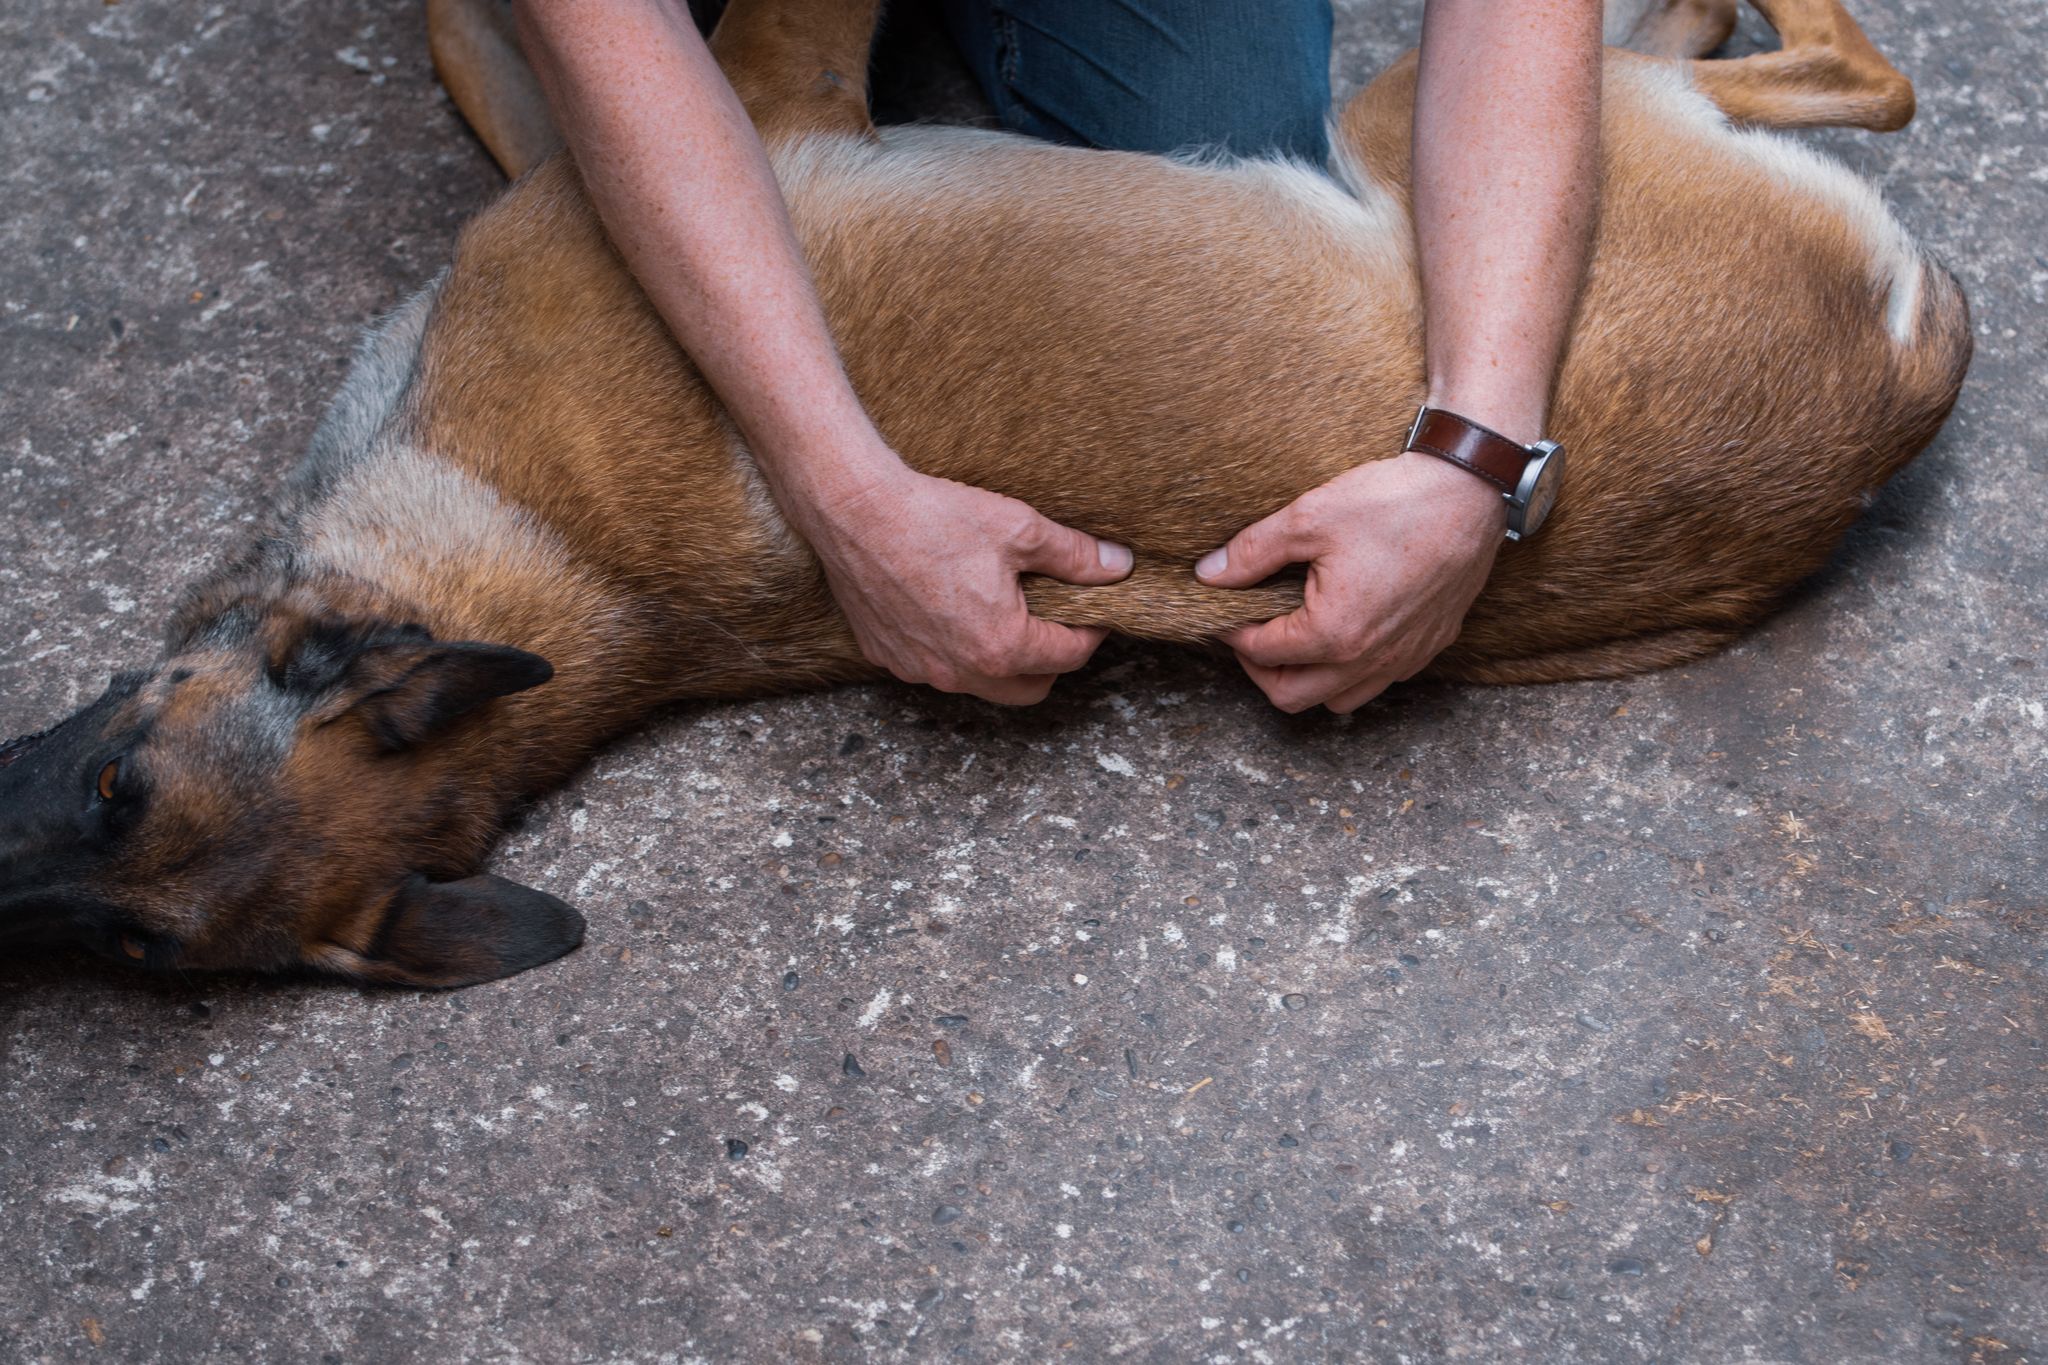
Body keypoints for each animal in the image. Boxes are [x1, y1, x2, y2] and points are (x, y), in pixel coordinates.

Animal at [0, 0, 1966, 986]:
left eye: (111, 787)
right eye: (131, 941)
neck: (566, 575)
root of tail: (1896, 395)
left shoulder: (737, 96)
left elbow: (466, 40)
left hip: (1434, 115)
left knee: (1860, 65)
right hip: (1449, 125)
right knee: (1852, 69)